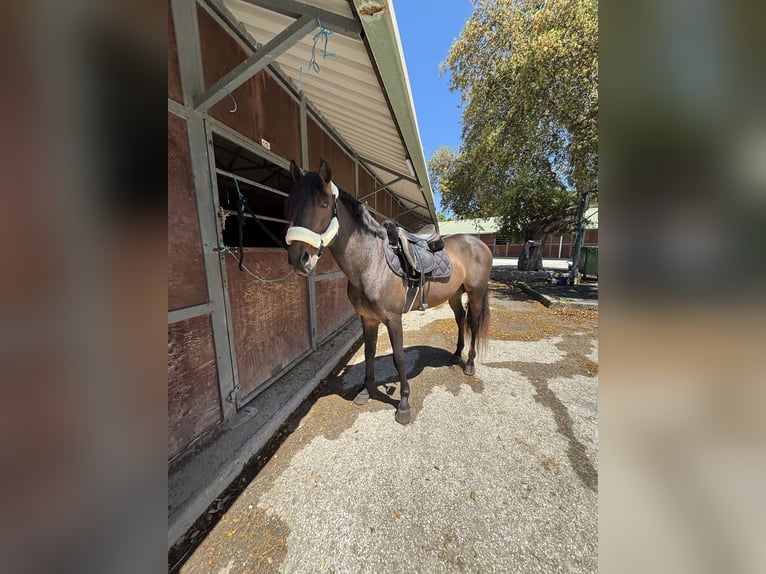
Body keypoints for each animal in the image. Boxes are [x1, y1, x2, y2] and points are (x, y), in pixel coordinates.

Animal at [285, 159, 492, 425]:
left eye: (323, 204)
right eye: (290, 203)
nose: (299, 259)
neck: (371, 263)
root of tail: (479, 243)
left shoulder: (393, 319)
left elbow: (399, 357)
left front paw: (403, 404)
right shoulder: (368, 319)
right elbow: (369, 352)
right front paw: (366, 391)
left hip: (475, 294)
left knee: (473, 324)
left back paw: (470, 364)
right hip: (455, 295)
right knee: (460, 320)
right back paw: (456, 354)